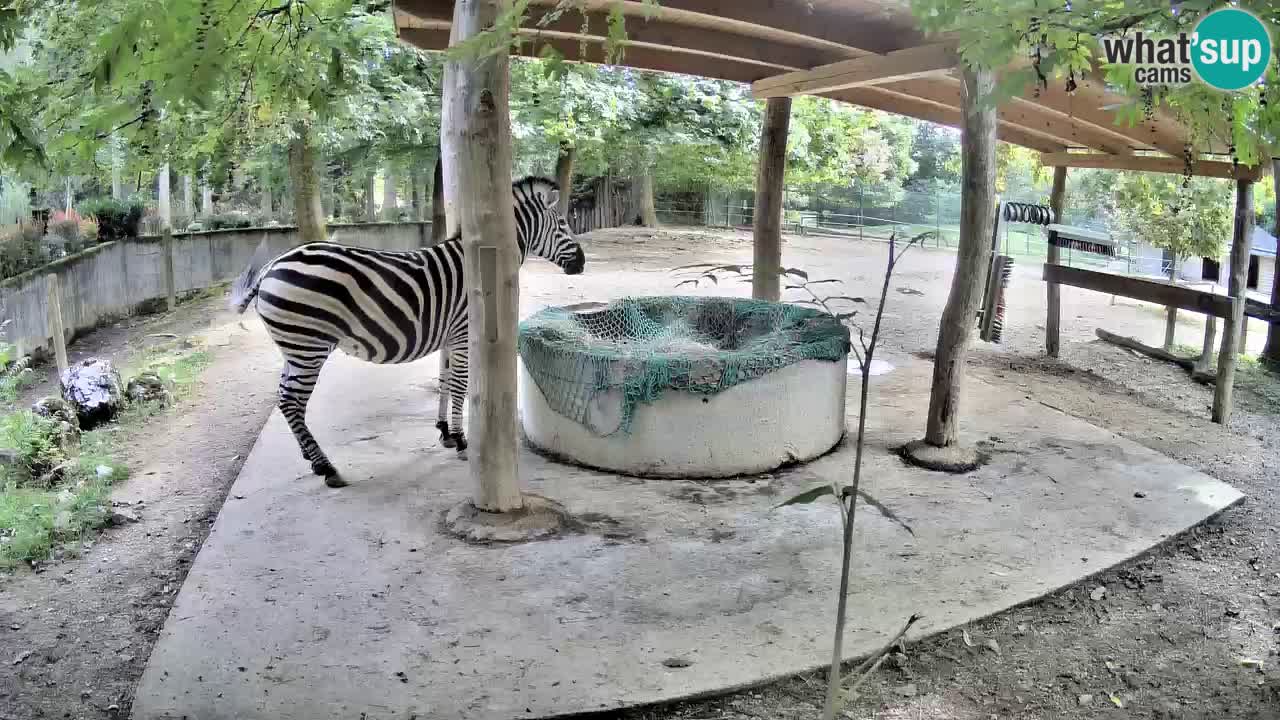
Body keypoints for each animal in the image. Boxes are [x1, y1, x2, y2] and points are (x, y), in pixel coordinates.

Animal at [228, 176, 585, 487]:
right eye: (563, 224)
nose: (582, 263)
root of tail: (272, 266)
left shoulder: (450, 336)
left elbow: (445, 381)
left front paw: (444, 431)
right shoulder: (463, 332)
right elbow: (459, 384)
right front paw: (460, 439)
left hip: (295, 347)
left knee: (283, 398)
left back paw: (311, 459)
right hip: (309, 347)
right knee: (292, 401)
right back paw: (327, 468)